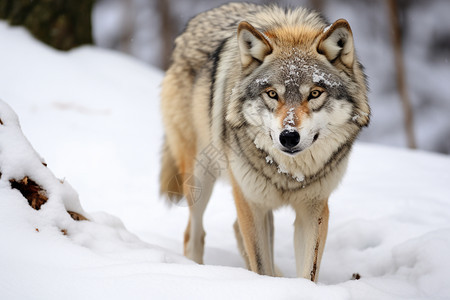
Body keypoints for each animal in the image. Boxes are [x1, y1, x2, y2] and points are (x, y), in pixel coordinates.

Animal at [158, 2, 370, 282]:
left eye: (315, 93)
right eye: (272, 94)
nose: (289, 136)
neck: (290, 173)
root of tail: (191, 26)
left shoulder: (313, 209)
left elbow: (308, 271)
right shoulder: (251, 203)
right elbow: (260, 264)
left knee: (233, 229)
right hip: (201, 176)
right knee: (193, 234)